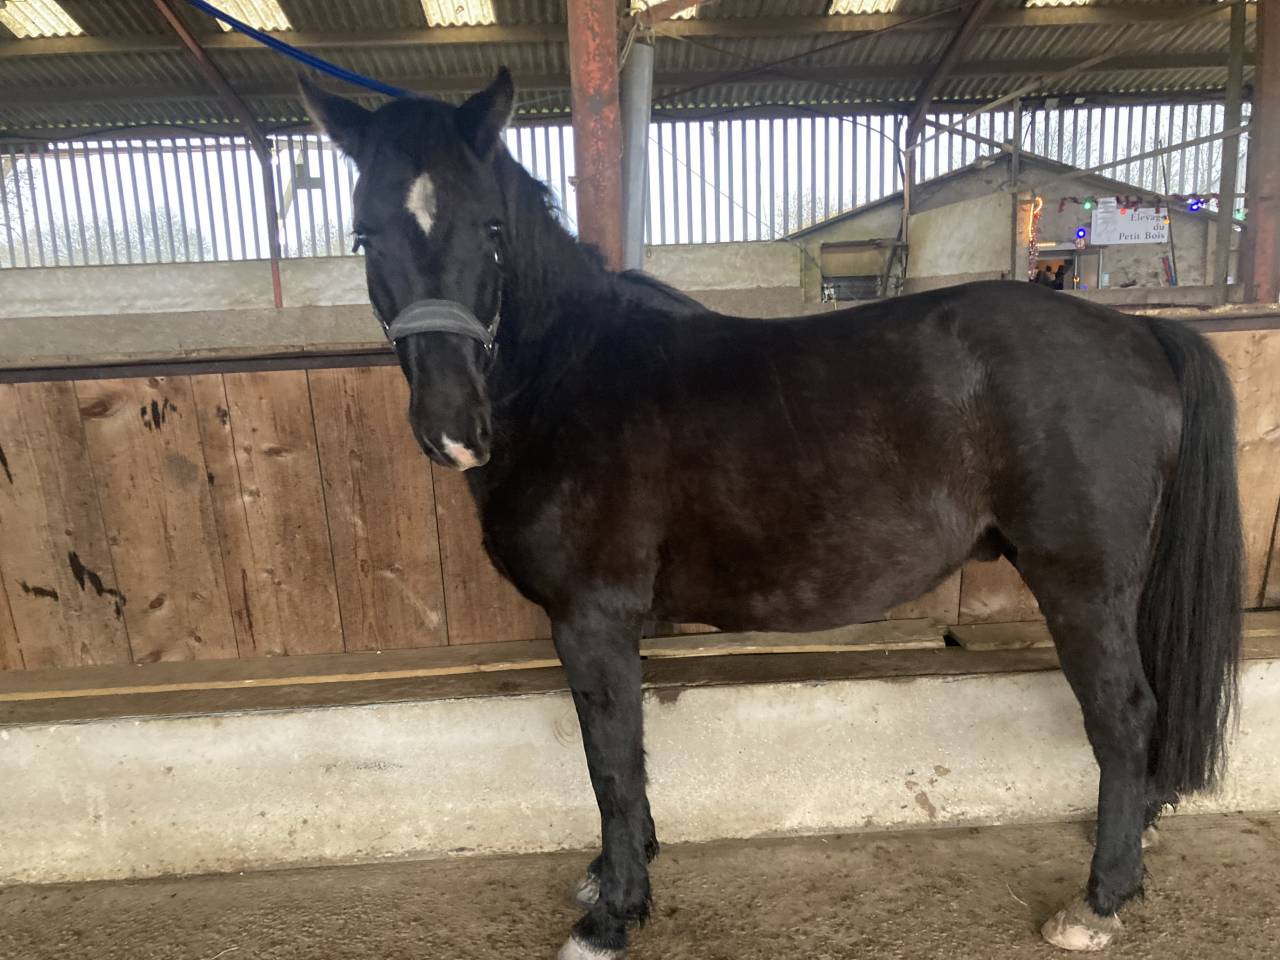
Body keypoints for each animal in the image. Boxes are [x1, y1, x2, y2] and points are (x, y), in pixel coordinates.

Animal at [301, 69, 1242, 959]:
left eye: (492, 231)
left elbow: (610, 757)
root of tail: (1138, 332)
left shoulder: (591, 617)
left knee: (1124, 714)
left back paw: (1098, 902)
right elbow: (620, 752)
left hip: (1080, 584)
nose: (454, 427)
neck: (571, 376)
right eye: (365, 234)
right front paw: (615, 875)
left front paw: (612, 915)